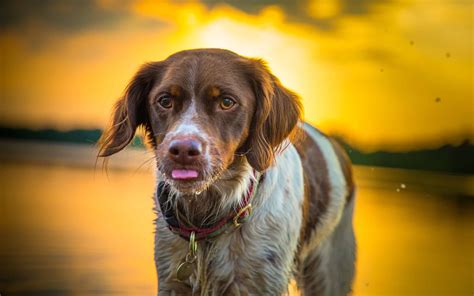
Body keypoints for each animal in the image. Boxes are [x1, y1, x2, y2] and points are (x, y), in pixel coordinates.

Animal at [99, 49, 356, 296]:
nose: (182, 150)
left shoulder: (259, 282)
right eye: (164, 101)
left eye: (226, 102)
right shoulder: (171, 281)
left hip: (329, 270)